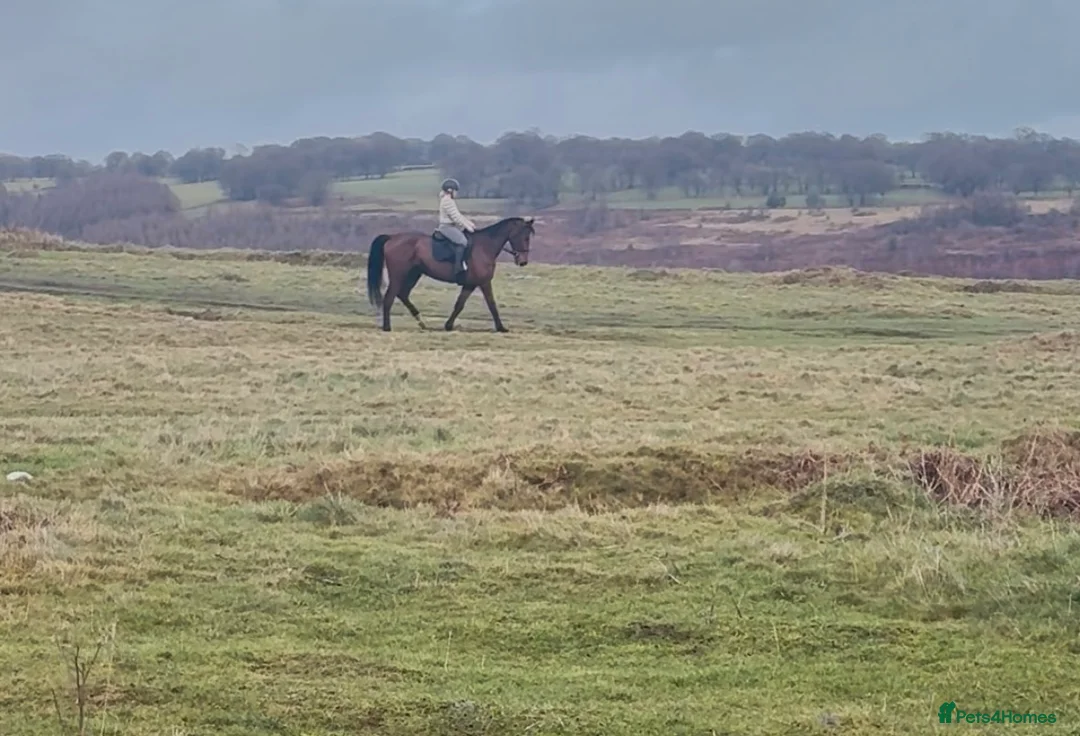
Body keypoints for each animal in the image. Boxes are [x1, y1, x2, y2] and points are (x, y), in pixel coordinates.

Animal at [365, 216, 535, 332]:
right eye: (525, 237)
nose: (523, 262)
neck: (484, 247)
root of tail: (391, 238)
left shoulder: (470, 284)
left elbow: (459, 304)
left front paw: (448, 325)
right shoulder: (483, 282)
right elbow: (492, 304)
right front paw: (501, 328)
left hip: (414, 274)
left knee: (403, 294)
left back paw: (421, 321)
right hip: (398, 276)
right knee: (390, 297)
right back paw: (387, 327)